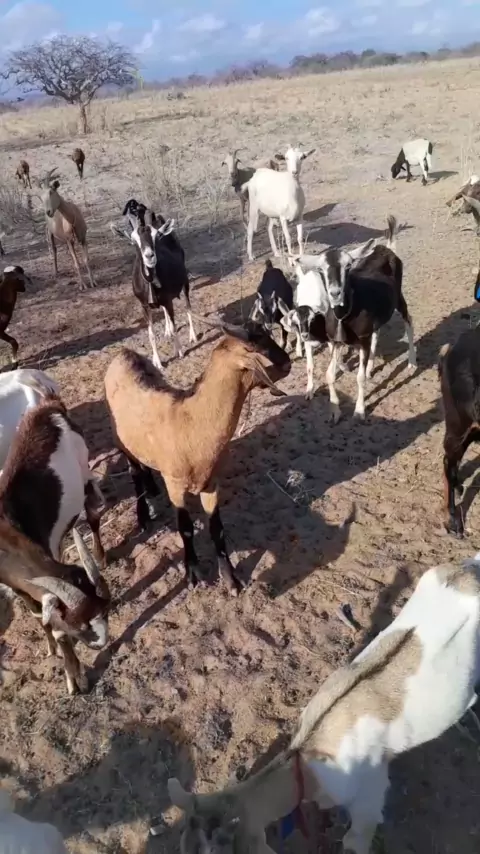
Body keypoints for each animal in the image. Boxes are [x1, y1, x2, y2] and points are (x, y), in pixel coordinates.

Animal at [104, 322, 291, 595]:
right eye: (261, 348)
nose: (288, 362)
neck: (190, 423)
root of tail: (122, 353)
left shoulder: (211, 484)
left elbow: (217, 530)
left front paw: (231, 579)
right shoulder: (175, 485)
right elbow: (186, 529)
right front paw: (193, 574)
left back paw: (152, 489)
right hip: (121, 441)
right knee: (135, 473)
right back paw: (143, 516)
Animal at [111, 217, 197, 368]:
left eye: (156, 236)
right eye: (133, 240)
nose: (149, 256)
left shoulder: (168, 300)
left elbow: (175, 326)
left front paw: (179, 351)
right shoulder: (144, 305)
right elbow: (151, 334)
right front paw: (157, 362)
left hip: (185, 282)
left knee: (188, 306)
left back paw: (192, 336)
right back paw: (167, 331)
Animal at [281, 216, 416, 415]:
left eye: (349, 265)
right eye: (321, 269)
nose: (335, 293)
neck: (344, 316)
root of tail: (387, 248)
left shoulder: (362, 340)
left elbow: (359, 378)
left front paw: (359, 410)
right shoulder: (336, 340)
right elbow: (329, 374)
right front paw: (335, 410)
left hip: (398, 297)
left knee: (409, 320)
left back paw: (412, 364)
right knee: (378, 331)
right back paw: (370, 368)